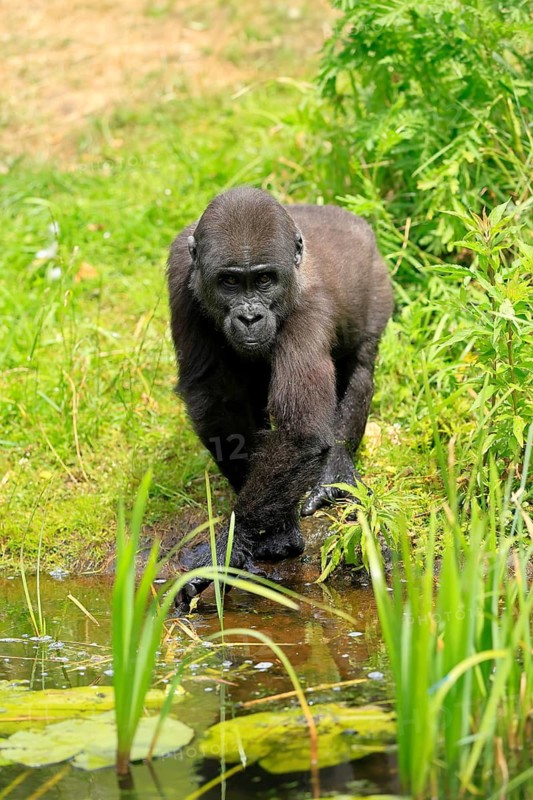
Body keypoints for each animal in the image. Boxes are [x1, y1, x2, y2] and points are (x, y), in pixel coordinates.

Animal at [167, 187, 393, 610]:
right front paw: (267, 533)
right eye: (229, 282)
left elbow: (300, 433)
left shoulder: (309, 309)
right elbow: (216, 402)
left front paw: (227, 547)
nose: (250, 317)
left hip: (379, 284)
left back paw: (336, 473)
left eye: (264, 280)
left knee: (359, 367)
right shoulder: (178, 272)